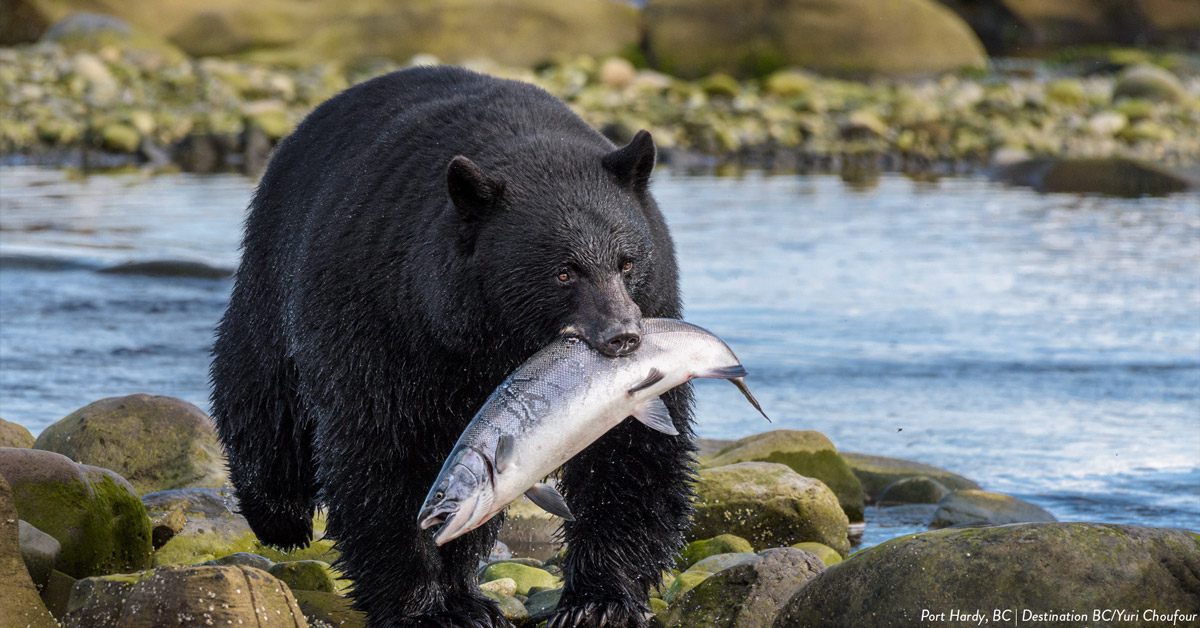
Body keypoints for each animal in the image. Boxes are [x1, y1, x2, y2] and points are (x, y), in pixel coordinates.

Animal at [213, 66, 696, 624]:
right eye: (564, 272)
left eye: (627, 262)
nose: (623, 336)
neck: (490, 340)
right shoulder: (387, 323)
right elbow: (386, 455)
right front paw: (425, 607)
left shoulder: (646, 331)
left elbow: (632, 455)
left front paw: (600, 599)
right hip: (278, 270)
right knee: (264, 400)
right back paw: (278, 517)